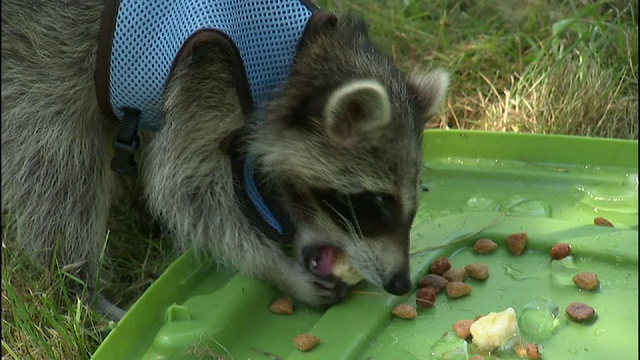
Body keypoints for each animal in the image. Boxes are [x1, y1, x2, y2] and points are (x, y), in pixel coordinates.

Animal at [1, 0, 450, 314]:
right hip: (41, 65)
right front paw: (272, 266)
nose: (400, 284)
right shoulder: (204, 82)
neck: (299, 58)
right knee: (61, 176)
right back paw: (80, 284)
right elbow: (184, 191)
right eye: (377, 202)